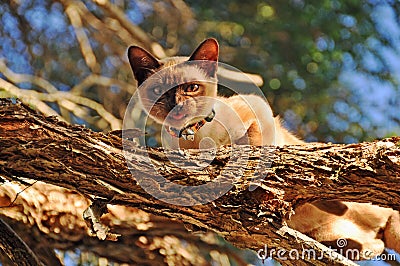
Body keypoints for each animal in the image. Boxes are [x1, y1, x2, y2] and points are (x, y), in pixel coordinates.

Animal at [127, 38, 400, 260]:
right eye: (157, 91)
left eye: (191, 88)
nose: (176, 106)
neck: (196, 135)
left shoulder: (257, 109)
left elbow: (256, 145)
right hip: (344, 236)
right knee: (372, 245)